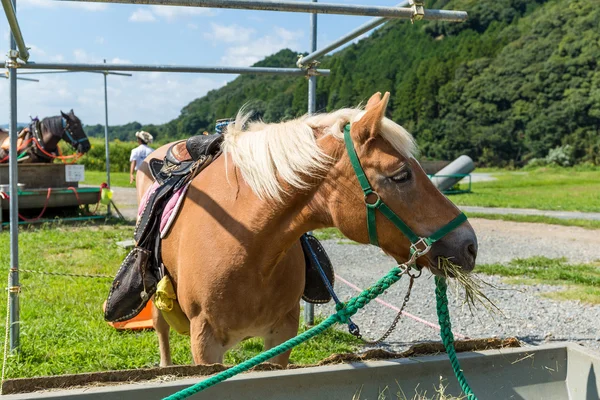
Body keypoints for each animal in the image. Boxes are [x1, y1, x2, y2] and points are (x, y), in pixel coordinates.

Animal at [136, 92, 478, 368]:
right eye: (401, 175)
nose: (469, 246)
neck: (247, 244)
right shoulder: (205, 342)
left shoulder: (282, 335)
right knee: (160, 327)